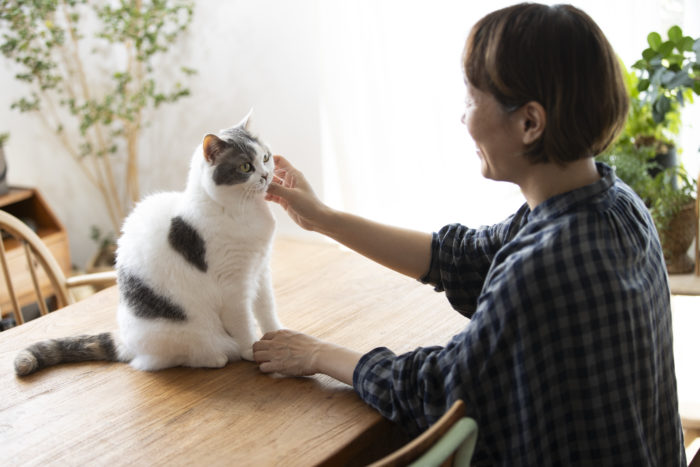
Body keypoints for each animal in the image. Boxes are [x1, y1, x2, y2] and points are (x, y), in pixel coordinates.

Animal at [13, 112, 282, 376]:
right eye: (245, 166)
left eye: (266, 157)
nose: (266, 175)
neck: (243, 210)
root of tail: (125, 342)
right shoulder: (233, 286)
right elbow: (243, 322)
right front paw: (252, 349)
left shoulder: (260, 270)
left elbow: (267, 309)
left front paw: (276, 335)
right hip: (181, 331)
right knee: (167, 359)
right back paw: (216, 357)